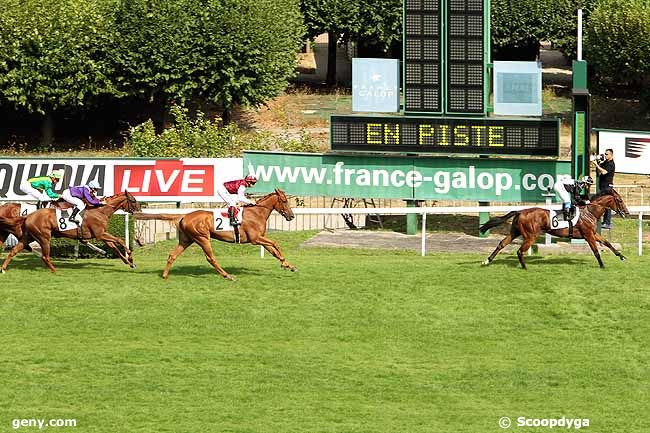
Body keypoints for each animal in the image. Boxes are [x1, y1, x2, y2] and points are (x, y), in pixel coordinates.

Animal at [0, 191, 140, 272]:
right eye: (133, 200)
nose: (139, 209)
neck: (100, 211)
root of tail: (28, 216)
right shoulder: (100, 235)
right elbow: (119, 240)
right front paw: (130, 255)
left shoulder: (102, 235)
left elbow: (115, 248)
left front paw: (130, 263)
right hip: (43, 237)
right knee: (44, 255)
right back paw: (54, 270)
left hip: (26, 236)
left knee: (14, 250)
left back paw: (3, 268)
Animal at [135, 187, 296, 278]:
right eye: (284, 200)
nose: (291, 216)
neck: (257, 213)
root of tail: (184, 216)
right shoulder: (255, 239)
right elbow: (276, 244)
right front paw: (284, 263)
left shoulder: (261, 238)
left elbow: (273, 250)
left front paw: (289, 265)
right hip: (202, 238)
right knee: (210, 258)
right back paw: (227, 276)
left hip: (186, 240)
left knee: (172, 255)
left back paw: (164, 275)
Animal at [476, 191, 628, 268]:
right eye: (620, 200)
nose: (626, 212)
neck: (590, 211)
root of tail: (520, 212)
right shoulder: (588, 235)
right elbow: (596, 250)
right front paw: (602, 265)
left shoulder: (593, 233)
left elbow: (607, 243)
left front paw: (622, 256)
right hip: (531, 236)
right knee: (519, 251)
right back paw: (524, 267)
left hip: (515, 232)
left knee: (502, 244)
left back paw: (487, 261)